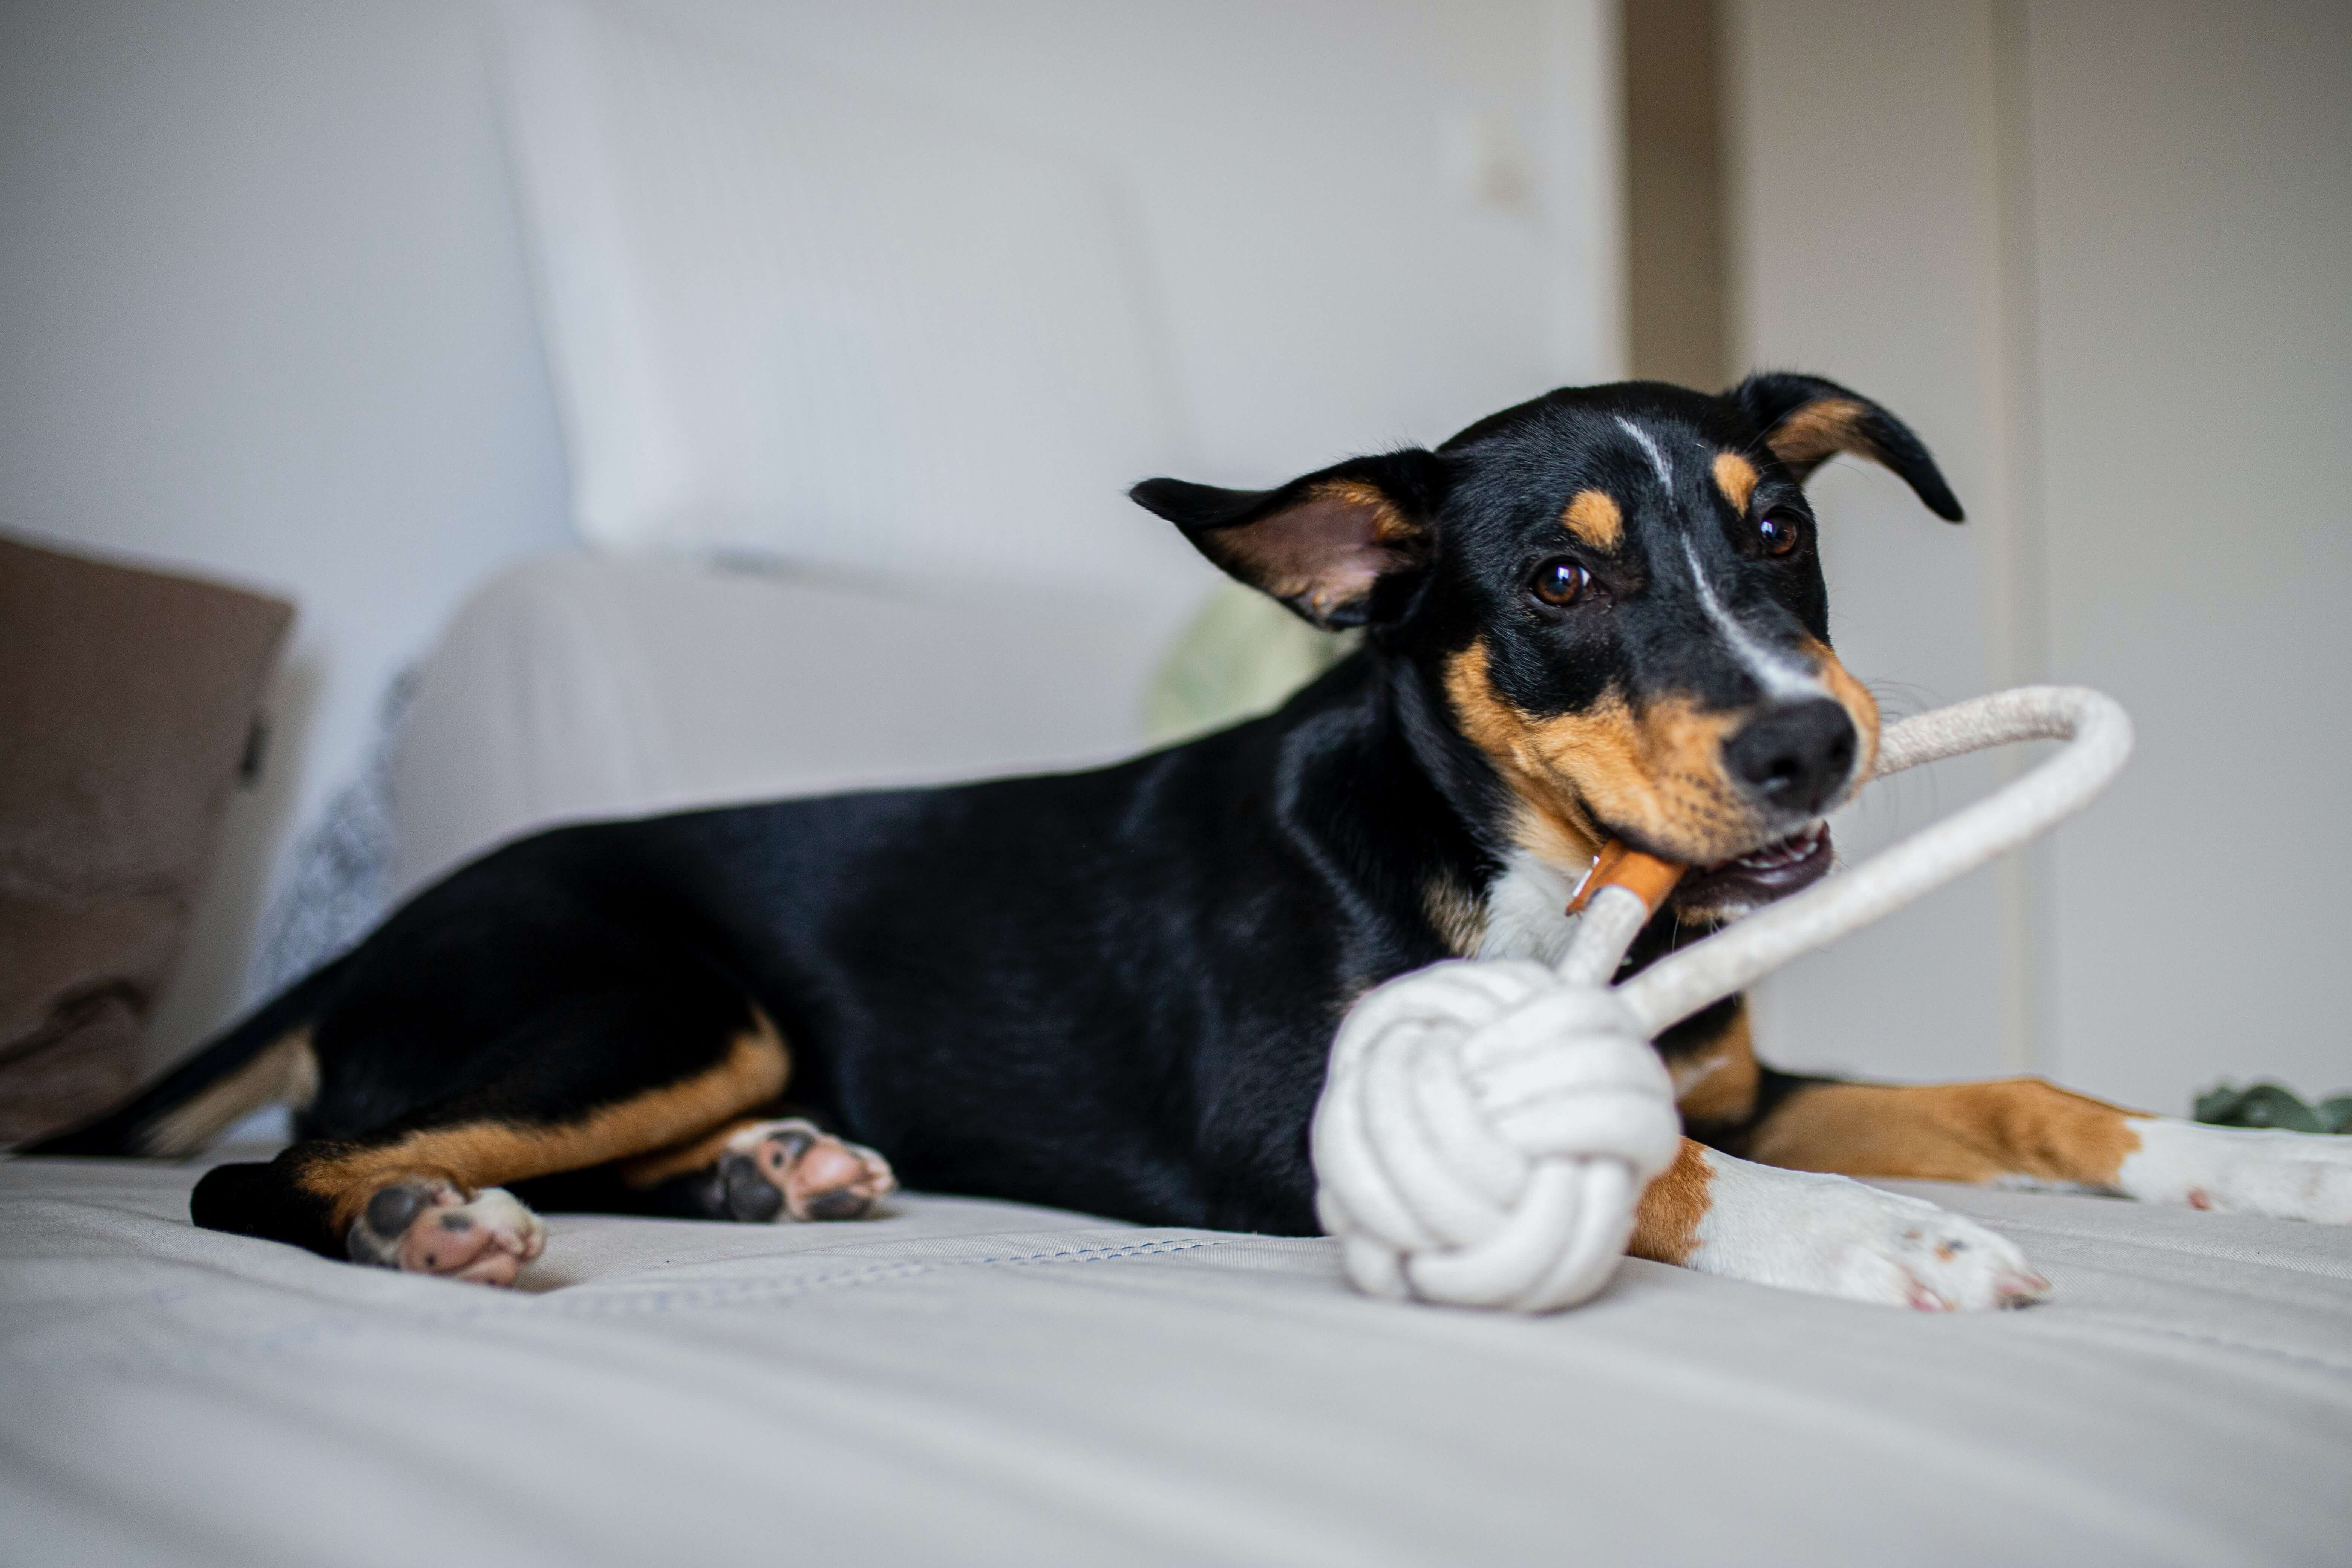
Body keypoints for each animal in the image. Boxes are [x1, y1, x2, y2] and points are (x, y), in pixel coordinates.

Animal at [37, 376, 2352, 1297]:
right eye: (1562, 580)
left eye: (1776, 526)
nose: (1811, 743)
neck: (1506, 856)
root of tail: (381, 929)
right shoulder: (1297, 1121)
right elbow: (1657, 1168)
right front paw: (1891, 1245)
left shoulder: (1744, 1074)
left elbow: (2017, 1094)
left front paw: (2266, 1164)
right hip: (651, 1000)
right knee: (274, 1169)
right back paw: (425, 1221)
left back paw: (772, 1177)